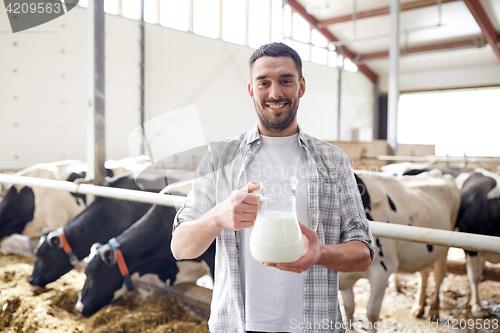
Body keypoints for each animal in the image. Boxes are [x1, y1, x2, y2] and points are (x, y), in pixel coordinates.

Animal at [340, 170, 460, 330]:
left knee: (439, 276)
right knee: (424, 273)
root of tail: (438, 172)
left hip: (446, 244)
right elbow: (349, 308)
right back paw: (419, 307)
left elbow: (371, 312)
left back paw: (434, 310)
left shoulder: (383, 271)